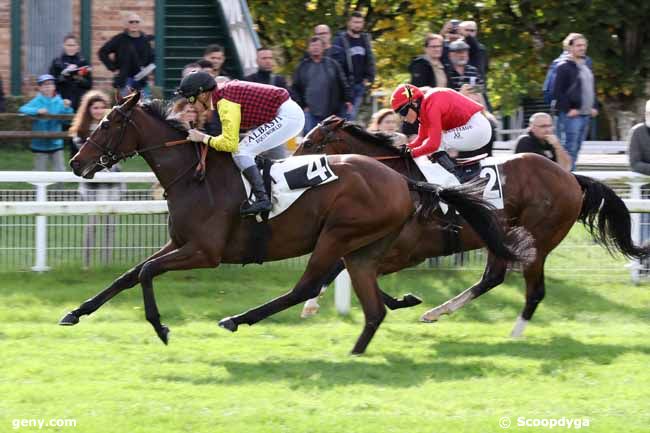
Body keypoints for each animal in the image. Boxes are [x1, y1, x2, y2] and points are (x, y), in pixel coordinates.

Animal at [62, 93, 528, 352]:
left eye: (107, 123)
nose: (75, 162)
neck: (195, 175)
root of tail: (402, 180)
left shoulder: (204, 252)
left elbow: (146, 273)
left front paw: (160, 327)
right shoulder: (180, 243)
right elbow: (129, 274)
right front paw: (75, 312)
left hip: (337, 234)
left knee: (307, 285)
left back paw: (239, 319)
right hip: (360, 242)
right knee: (359, 283)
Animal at [294, 116, 648, 336]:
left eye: (310, 143)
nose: (290, 166)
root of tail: (571, 177)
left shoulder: (406, 252)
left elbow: (345, 268)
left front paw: (401, 300)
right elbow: (342, 267)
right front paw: (312, 304)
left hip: (537, 239)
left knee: (533, 290)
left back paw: (514, 334)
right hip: (502, 234)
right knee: (493, 277)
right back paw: (438, 312)